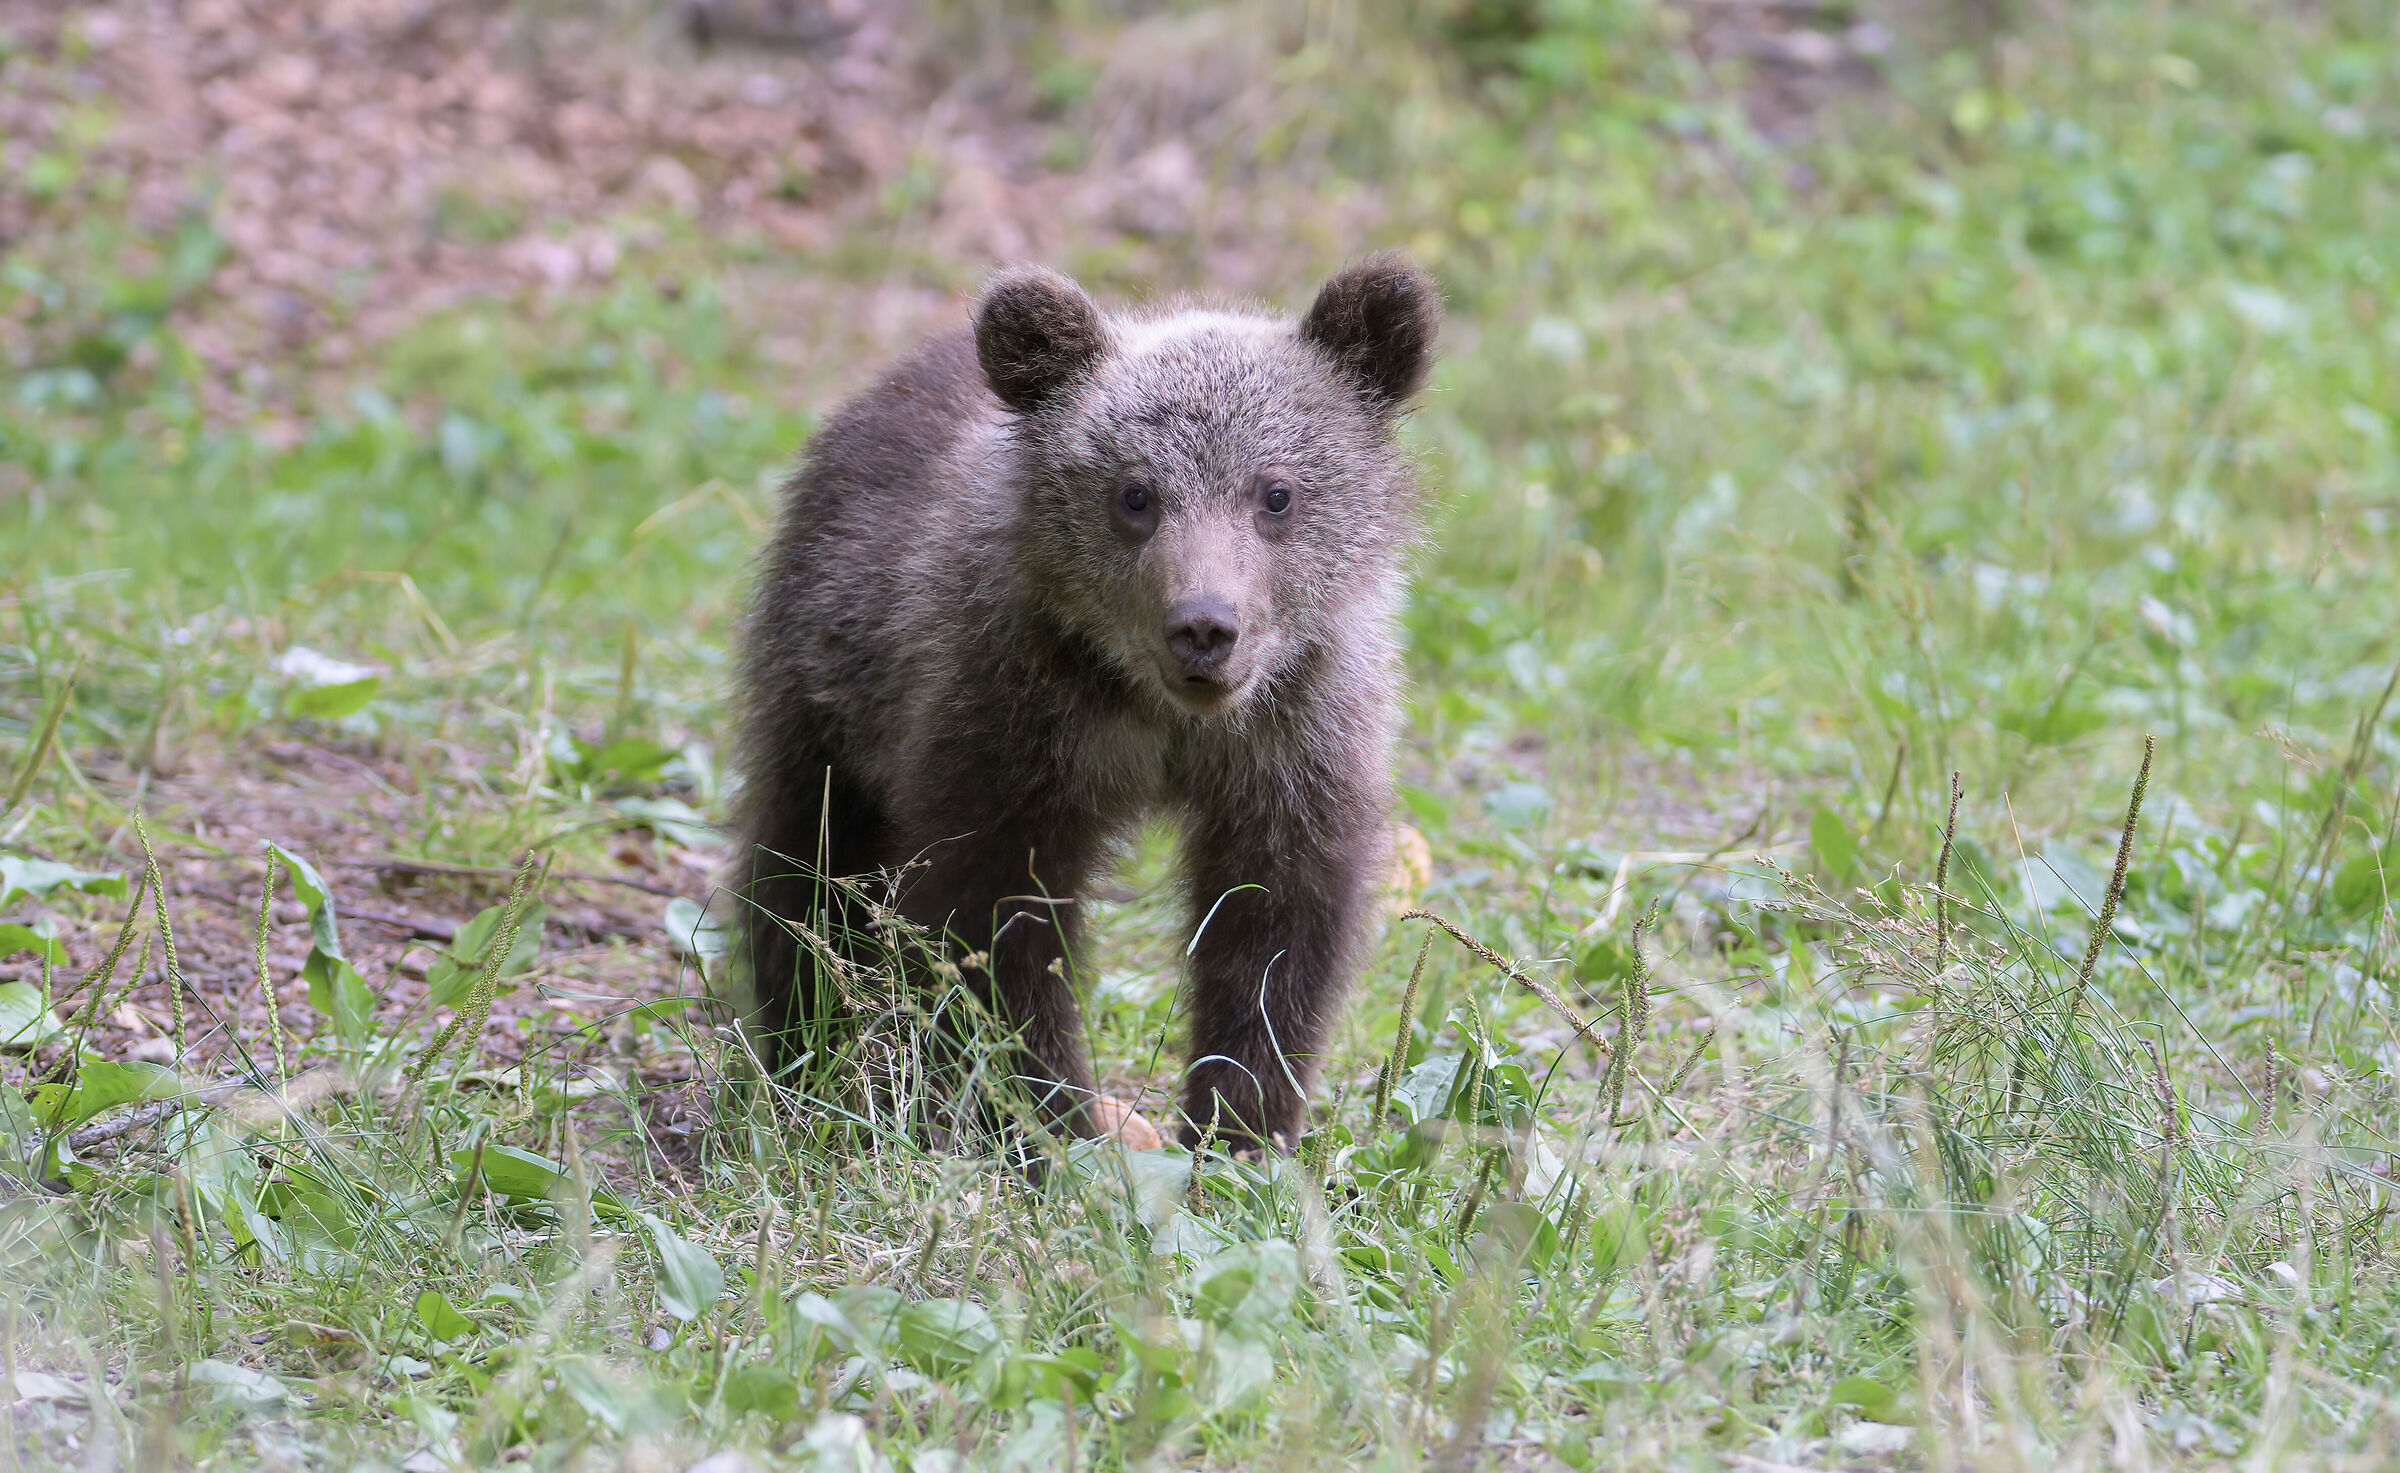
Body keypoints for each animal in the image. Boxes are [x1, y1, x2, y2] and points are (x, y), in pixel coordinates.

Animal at [728, 252, 1438, 1153]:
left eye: (1275, 492)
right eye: (1136, 494)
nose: (1204, 626)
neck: (1164, 718)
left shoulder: (1294, 738)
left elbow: (1275, 932)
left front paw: (1238, 1130)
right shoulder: (1015, 721)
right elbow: (994, 931)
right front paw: (1046, 1122)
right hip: (831, 677)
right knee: (808, 861)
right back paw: (810, 1051)